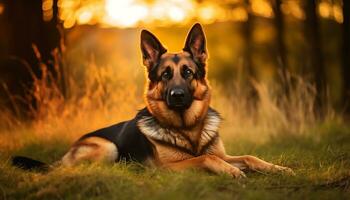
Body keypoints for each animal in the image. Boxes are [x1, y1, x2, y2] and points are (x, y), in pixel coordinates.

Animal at [12, 23, 292, 178]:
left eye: (187, 73)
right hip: (108, 148)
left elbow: (249, 157)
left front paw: (278, 168)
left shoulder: (225, 153)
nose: (177, 95)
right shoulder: (170, 168)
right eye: (165, 75)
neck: (188, 130)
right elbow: (206, 159)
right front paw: (232, 171)